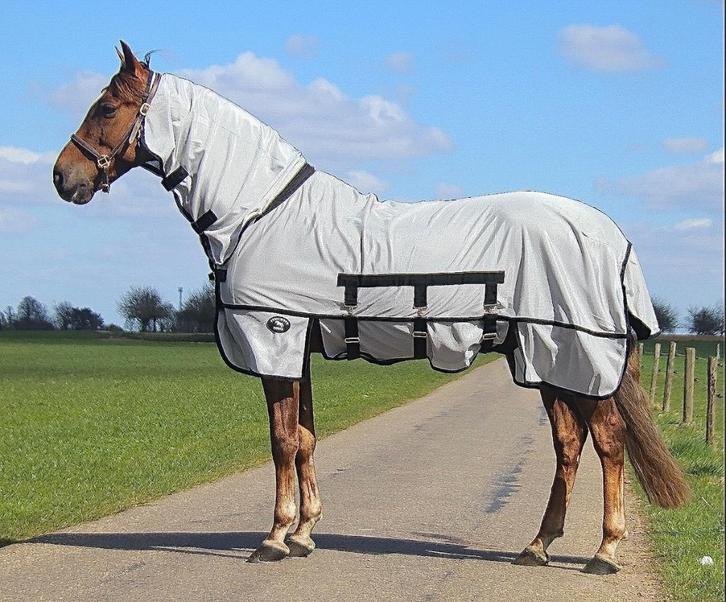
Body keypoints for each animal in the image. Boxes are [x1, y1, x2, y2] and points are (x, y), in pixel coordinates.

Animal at [53, 42, 689, 574]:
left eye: (106, 107)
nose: (63, 177)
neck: (259, 212)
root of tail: (614, 238)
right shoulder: (297, 348)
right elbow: (306, 437)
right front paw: (304, 533)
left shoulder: (274, 339)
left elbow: (282, 442)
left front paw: (274, 538)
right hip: (546, 358)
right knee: (569, 445)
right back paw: (537, 545)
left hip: (573, 353)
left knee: (607, 442)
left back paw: (604, 551)